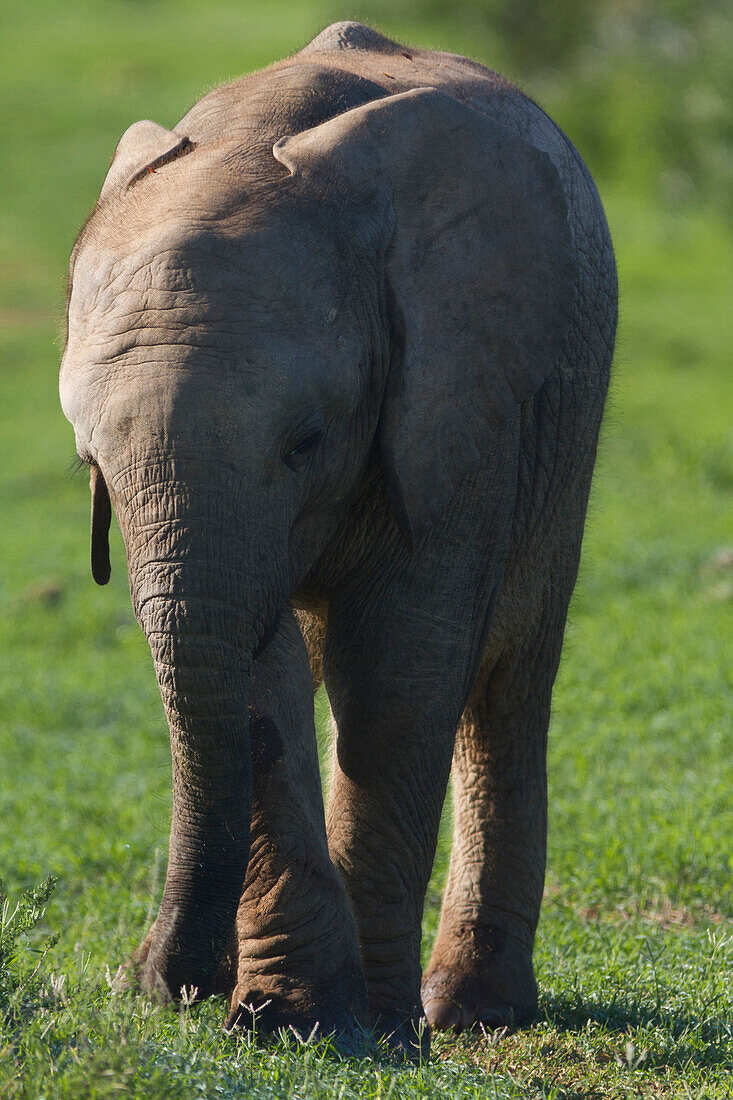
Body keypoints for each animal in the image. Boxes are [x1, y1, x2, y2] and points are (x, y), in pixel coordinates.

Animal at [59, 21, 611, 1056]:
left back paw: (474, 1013)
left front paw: (378, 1032)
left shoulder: (455, 401)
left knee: (508, 681)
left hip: (562, 431)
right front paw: (289, 1020)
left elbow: (397, 673)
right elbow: (262, 668)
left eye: (306, 440)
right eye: (88, 459)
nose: (160, 983)